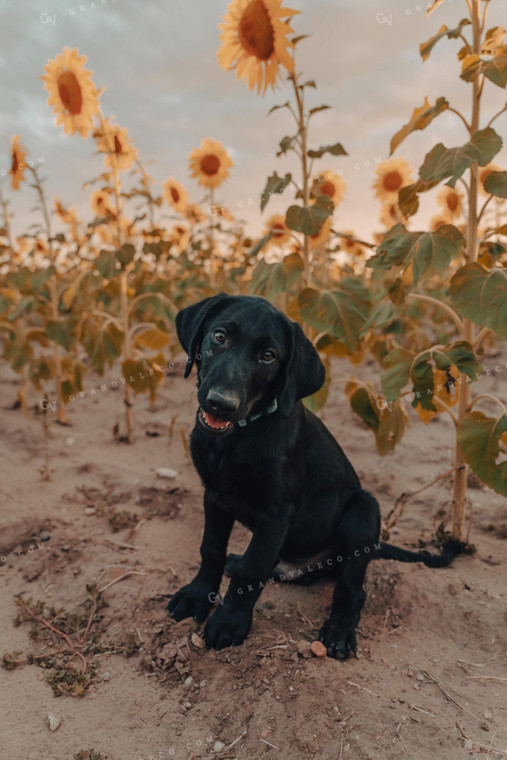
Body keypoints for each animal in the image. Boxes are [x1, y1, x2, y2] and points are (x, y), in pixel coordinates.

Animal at [169, 294, 462, 656]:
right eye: (219, 336)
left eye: (269, 356)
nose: (221, 404)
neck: (237, 438)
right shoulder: (214, 495)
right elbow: (211, 549)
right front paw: (197, 596)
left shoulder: (276, 512)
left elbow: (253, 568)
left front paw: (229, 622)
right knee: (281, 569)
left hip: (363, 512)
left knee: (351, 589)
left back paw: (338, 632)